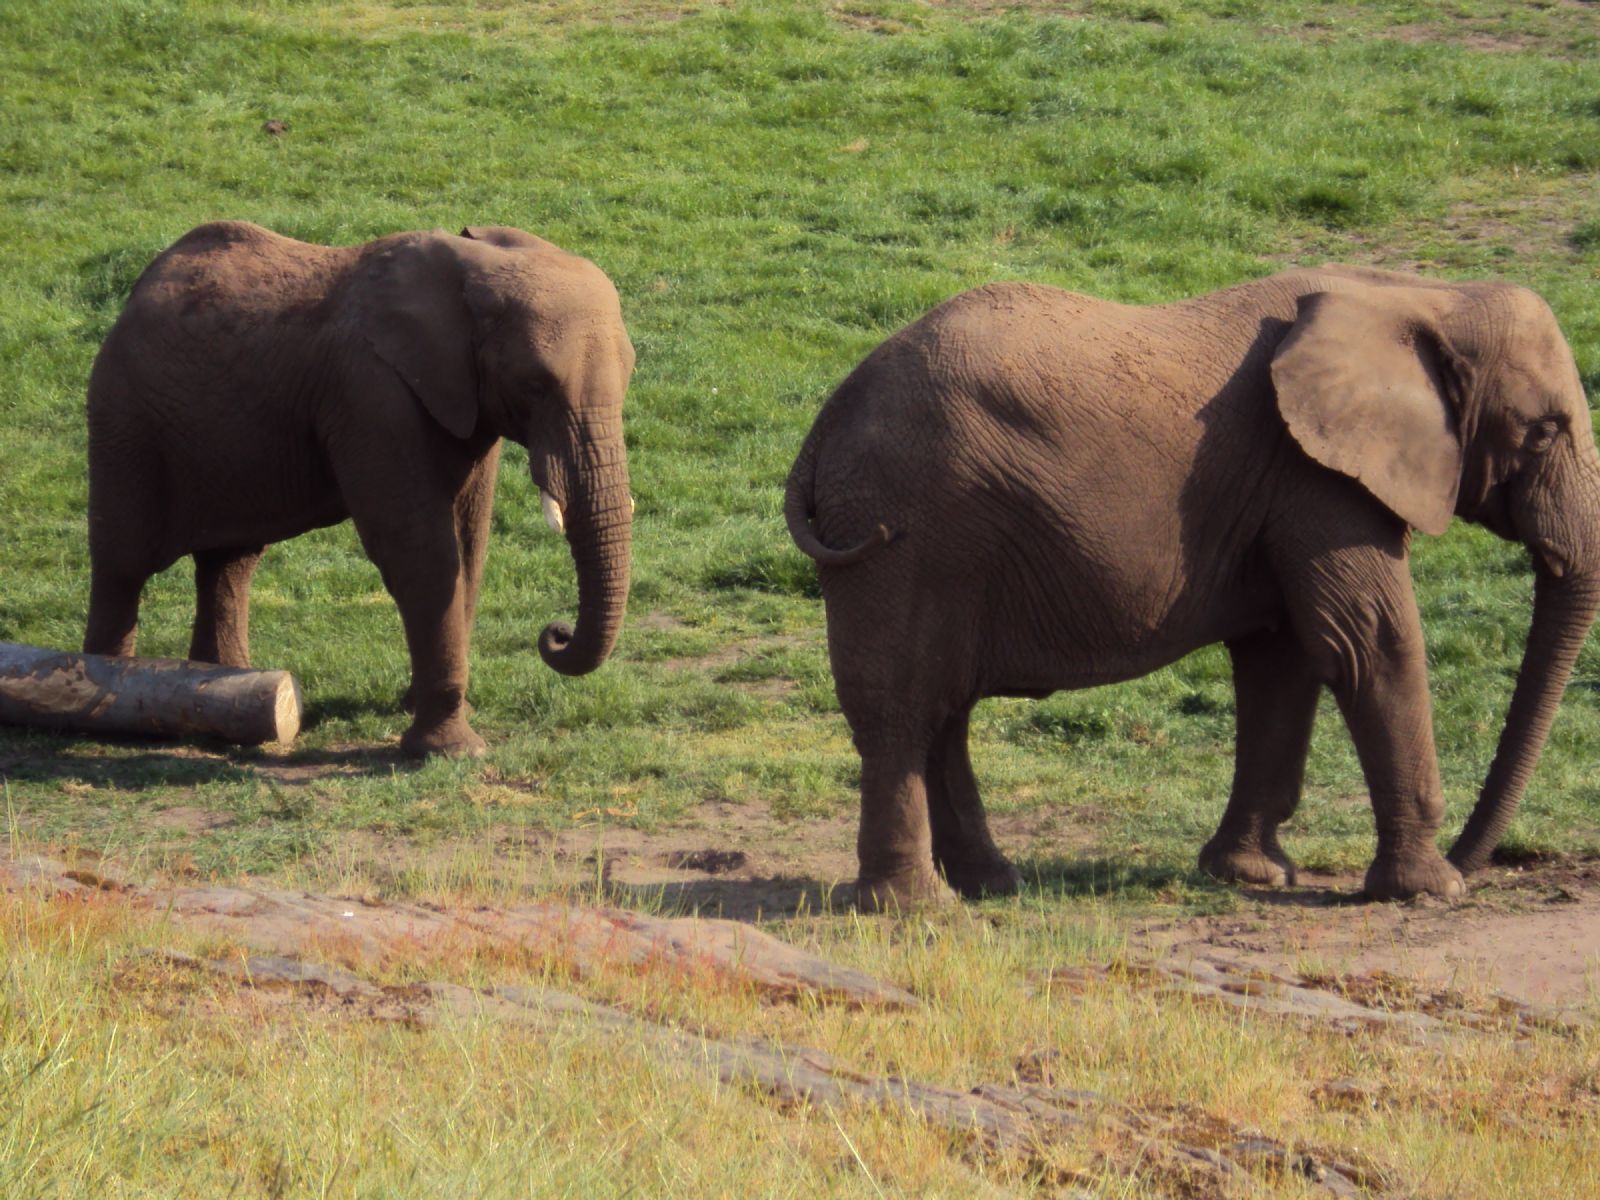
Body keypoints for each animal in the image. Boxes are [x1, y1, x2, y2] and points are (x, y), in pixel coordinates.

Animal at [81, 220, 630, 755]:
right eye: (535, 384)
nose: (555, 634)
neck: (472, 269)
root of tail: (137, 292)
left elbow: (469, 546)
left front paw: (426, 710)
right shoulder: (368, 392)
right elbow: (420, 551)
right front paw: (450, 749)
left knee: (229, 562)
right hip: (123, 420)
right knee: (123, 564)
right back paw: (106, 708)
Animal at [787, 262, 1600, 902]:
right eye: (1544, 433)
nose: (1477, 861)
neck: (1422, 295)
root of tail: (826, 422)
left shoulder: (1282, 487)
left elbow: (1282, 660)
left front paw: (1251, 875)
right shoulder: (1316, 477)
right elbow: (1368, 641)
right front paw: (1428, 890)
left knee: (942, 710)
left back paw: (992, 884)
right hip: (900, 529)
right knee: (899, 708)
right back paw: (915, 907)